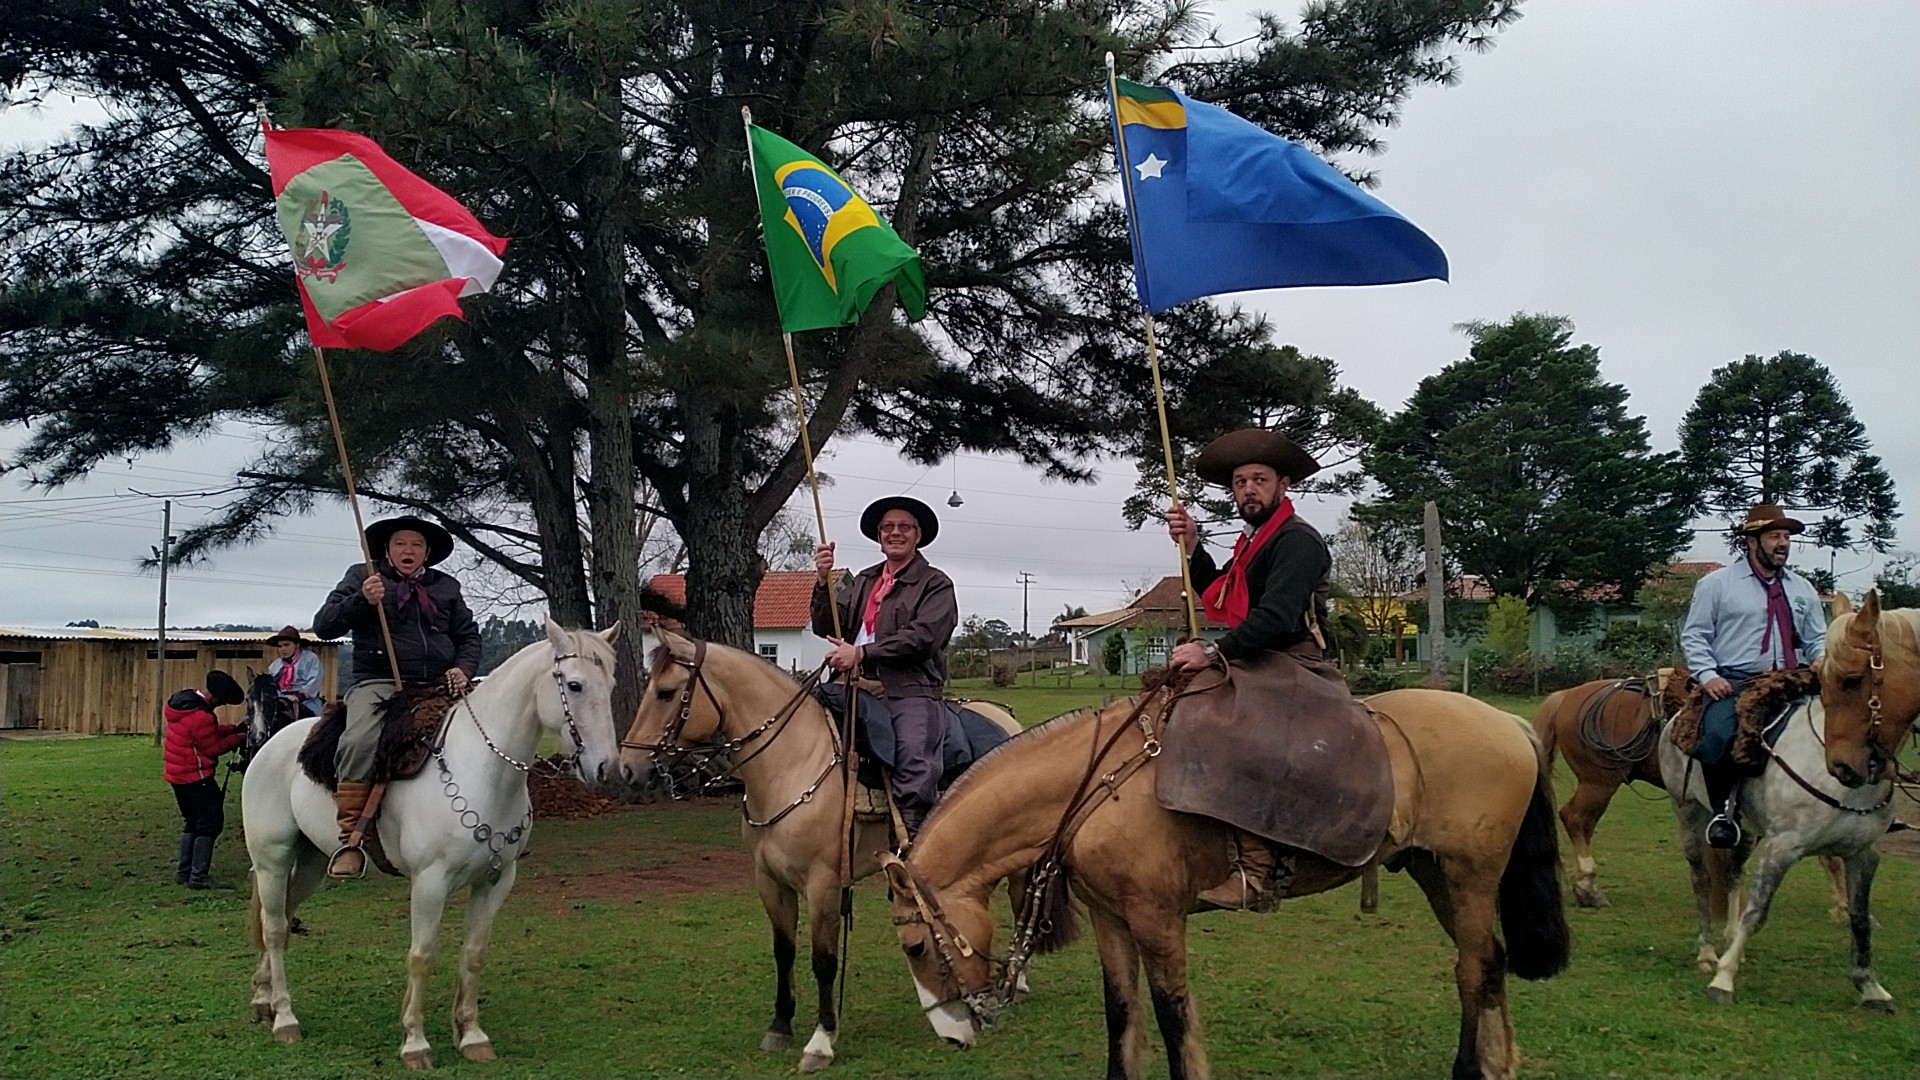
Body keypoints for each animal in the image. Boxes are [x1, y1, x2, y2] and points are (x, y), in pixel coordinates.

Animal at [236, 618, 618, 1060]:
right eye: (574, 685)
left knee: (278, 918)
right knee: (275, 928)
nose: (606, 767)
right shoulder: (430, 882)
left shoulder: (496, 880)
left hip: (312, 863)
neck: (481, 769)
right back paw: (284, 1018)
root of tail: (268, 745)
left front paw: (471, 1035)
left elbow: (473, 955)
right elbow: (422, 957)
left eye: (610, 684)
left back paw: (262, 1000)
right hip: (272, 859)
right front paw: (415, 1042)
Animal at [622, 626, 1029, 1068]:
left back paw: (1018, 982)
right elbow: (784, 950)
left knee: (1020, 903)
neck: (792, 764)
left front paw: (821, 1039)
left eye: (666, 692)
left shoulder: (825, 884)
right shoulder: (769, 881)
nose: (627, 767)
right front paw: (780, 1025)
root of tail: (1005, 718)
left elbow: (824, 960)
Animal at [883, 684, 1574, 1076]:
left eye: (916, 947)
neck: (1100, 787)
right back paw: (1499, 1065)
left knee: (1472, 971)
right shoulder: (1112, 918)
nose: (953, 1036)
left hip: (1470, 875)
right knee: (1488, 963)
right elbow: (1121, 1014)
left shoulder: (1157, 920)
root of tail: (1511, 725)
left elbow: (1172, 1017)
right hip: (1439, 876)